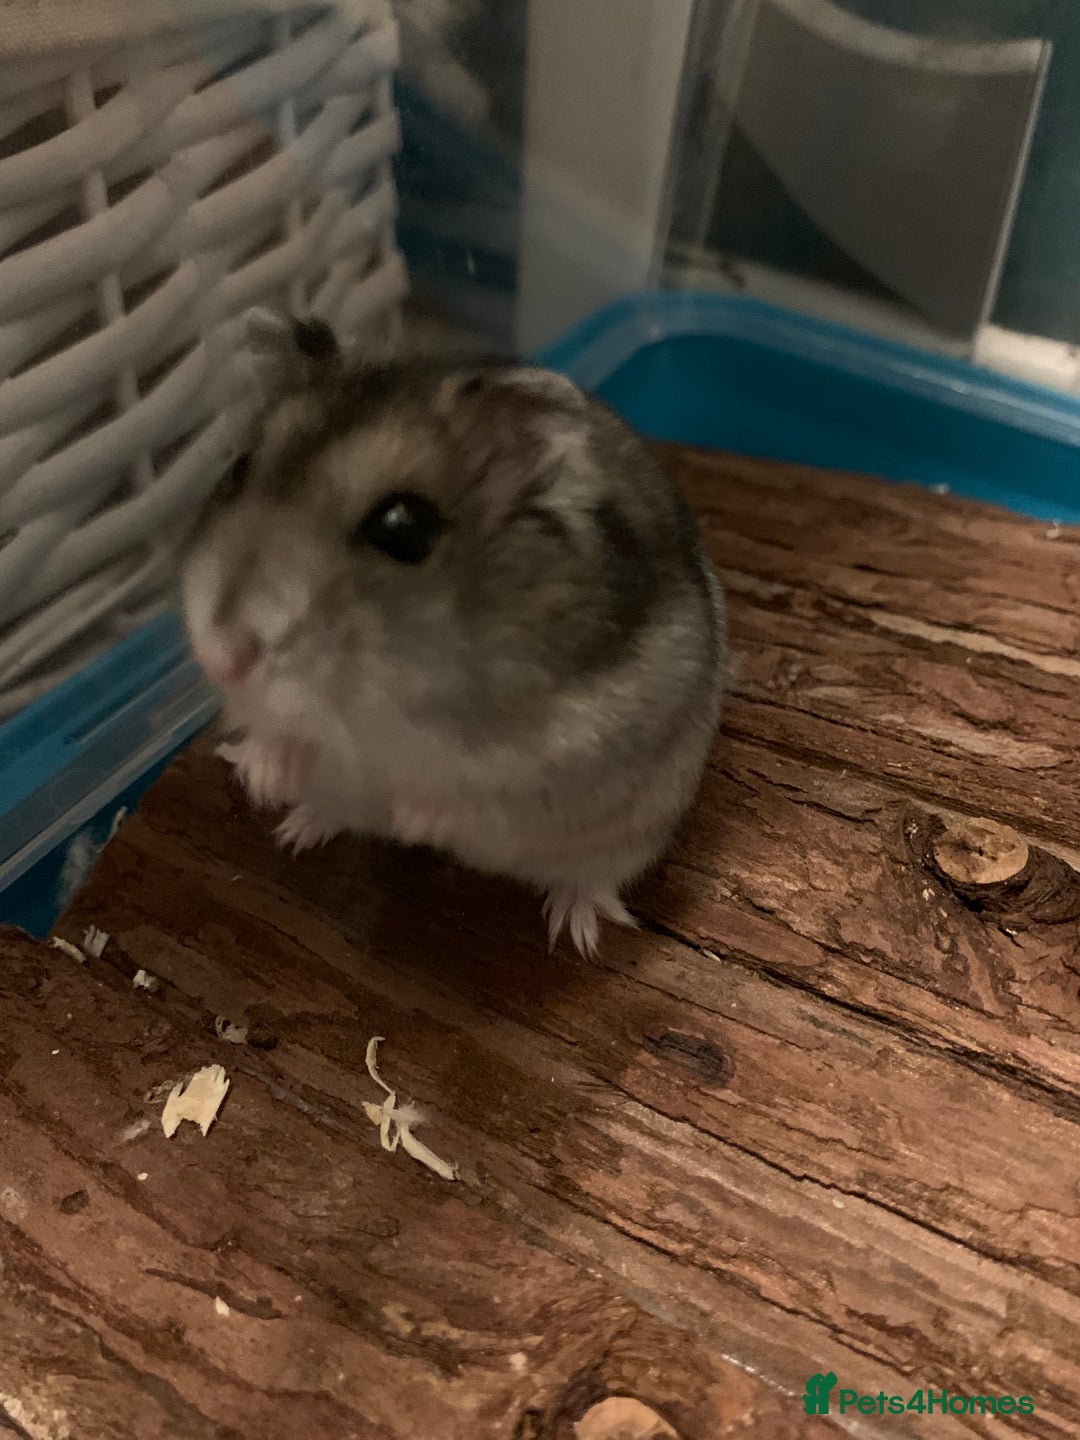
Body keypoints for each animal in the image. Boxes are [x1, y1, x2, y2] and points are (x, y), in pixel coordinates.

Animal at [181, 310, 727, 956]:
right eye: (238, 469)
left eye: (403, 528)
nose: (221, 658)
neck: (380, 707)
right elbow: (279, 731)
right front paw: (262, 779)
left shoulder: (567, 753)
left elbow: (474, 793)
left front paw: (410, 818)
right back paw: (299, 827)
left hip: (636, 832)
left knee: (591, 878)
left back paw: (576, 930)